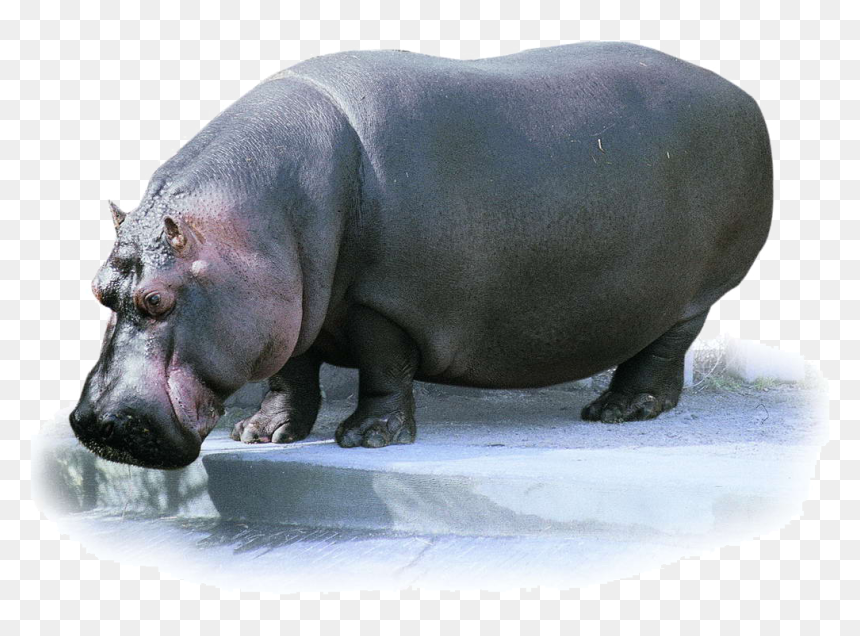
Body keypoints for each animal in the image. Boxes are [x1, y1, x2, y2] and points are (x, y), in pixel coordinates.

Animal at [70, 42, 772, 469]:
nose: (100, 423)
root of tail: (742, 94)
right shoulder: (291, 304)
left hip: (697, 291)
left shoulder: (383, 303)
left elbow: (383, 368)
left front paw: (365, 440)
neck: (253, 223)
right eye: (101, 290)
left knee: (663, 349)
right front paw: (262, 435)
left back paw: (615, 412)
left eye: (157, 298)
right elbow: (291, 373)